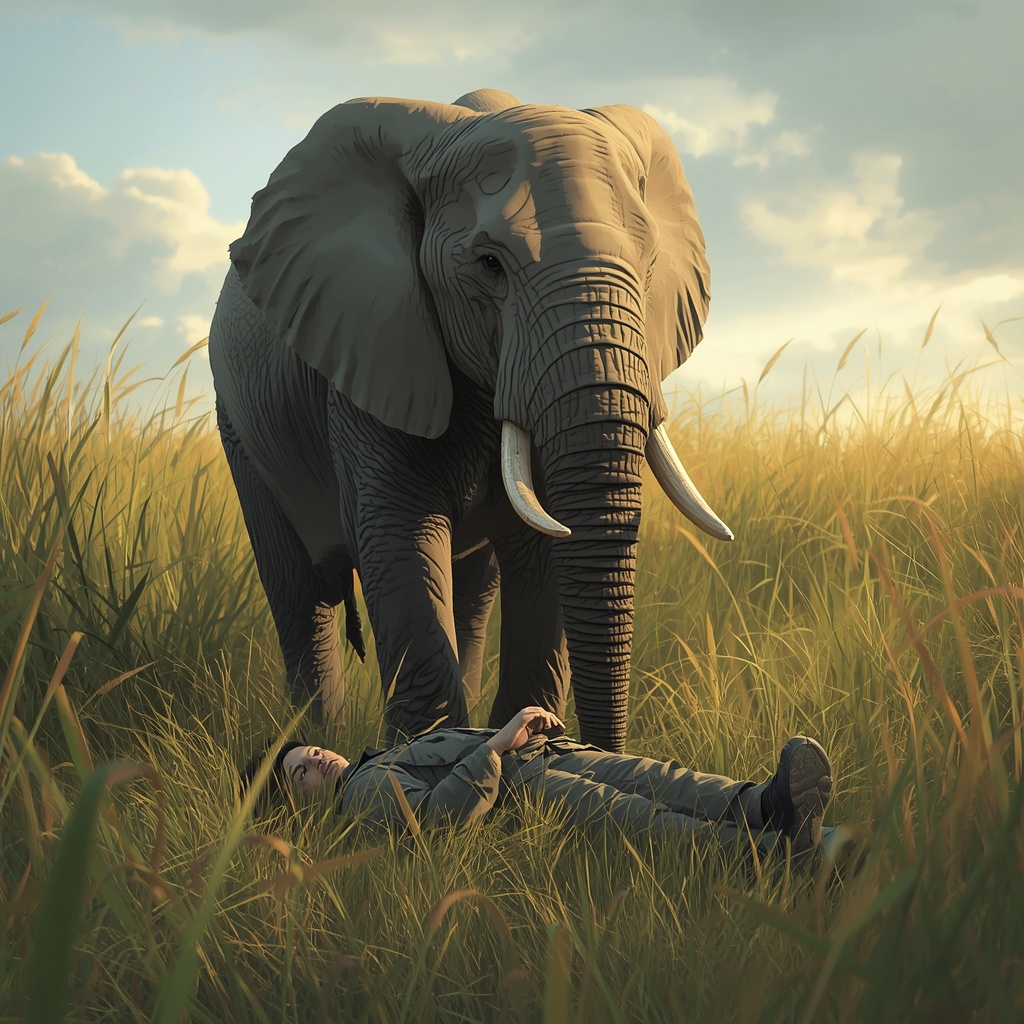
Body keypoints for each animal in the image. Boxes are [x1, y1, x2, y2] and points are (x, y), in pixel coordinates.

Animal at [208, 87, 732, 753]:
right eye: (489, 264)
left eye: (648, 261)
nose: (601, 747)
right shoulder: (373, 348)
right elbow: (398, 532)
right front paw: (425, 751)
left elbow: (542, 548)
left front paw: (531, 741)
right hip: (239, 422)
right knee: (301, 592)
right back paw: (314, 737)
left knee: (470, 588)